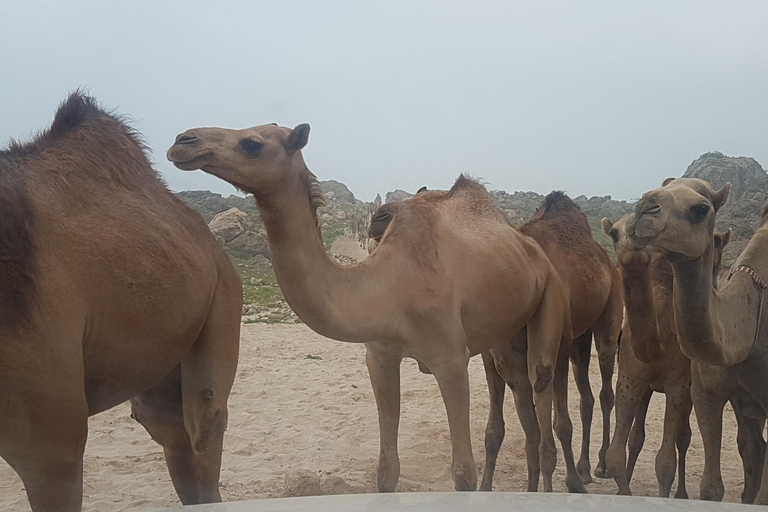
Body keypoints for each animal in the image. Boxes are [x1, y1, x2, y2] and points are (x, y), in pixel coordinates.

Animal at [166, 123, 584, 492]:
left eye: (251, 143)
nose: (182, 141)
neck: (387, 286)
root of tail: (530, 248)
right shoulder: (379, 356)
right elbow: (386, 471)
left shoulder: (450, 359)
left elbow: (462, 473)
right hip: (506, 336)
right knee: (522, 393)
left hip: (549, 296)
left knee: (542, 379)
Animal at [480, 193, 624, 492]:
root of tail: (607, 260)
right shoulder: (493, 357)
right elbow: (495, 431)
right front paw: (484, 487)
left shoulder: (556, 348)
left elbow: (561, 425)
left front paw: (571, 483)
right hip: (580, 336)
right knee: (586, 398)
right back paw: (584, 469)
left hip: (608, 317)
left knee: (606, 391)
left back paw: (601, 465)